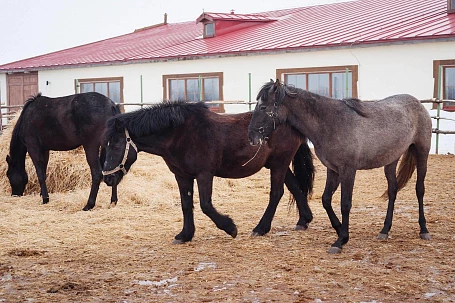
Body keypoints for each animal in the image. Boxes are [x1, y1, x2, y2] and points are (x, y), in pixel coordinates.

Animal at [102, 102, 316, 245]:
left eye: (116, 145)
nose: (107, 178)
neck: (180, 133)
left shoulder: (204, 174)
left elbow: (205, 205)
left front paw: (230, 228)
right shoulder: (182, 175)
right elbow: (186, 204)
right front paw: (185, 235)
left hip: (279, 163)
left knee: (276, 193)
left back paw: (260, 228)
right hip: (277, 164)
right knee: (295, 187)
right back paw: (303, 221)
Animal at [248, 79, 432, 255]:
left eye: (263, 107)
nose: (251, 137)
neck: (331, 122)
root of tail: (417, 103)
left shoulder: (348, 170)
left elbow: (345, 204)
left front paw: (340, 241)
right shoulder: (333, 169)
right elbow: (326, 200)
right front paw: (340, 231)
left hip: (422, 152)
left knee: (420, 189)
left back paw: (423, 229)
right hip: (391, 160)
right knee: (393, 191)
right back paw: (385, 230)